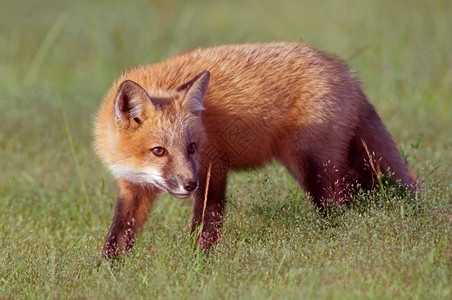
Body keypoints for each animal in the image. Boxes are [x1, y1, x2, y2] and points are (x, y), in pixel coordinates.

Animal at [93, 42, 418, 258]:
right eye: (159, 151)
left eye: (192, 147)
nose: (189, 184)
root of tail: (345, 71)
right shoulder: (133, 187)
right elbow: (118, 233)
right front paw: (109, 270)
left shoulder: (213, 167)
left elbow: (206, 220)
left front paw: (197, 261)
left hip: (315, 168)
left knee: (340, 207)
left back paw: (334, 243)